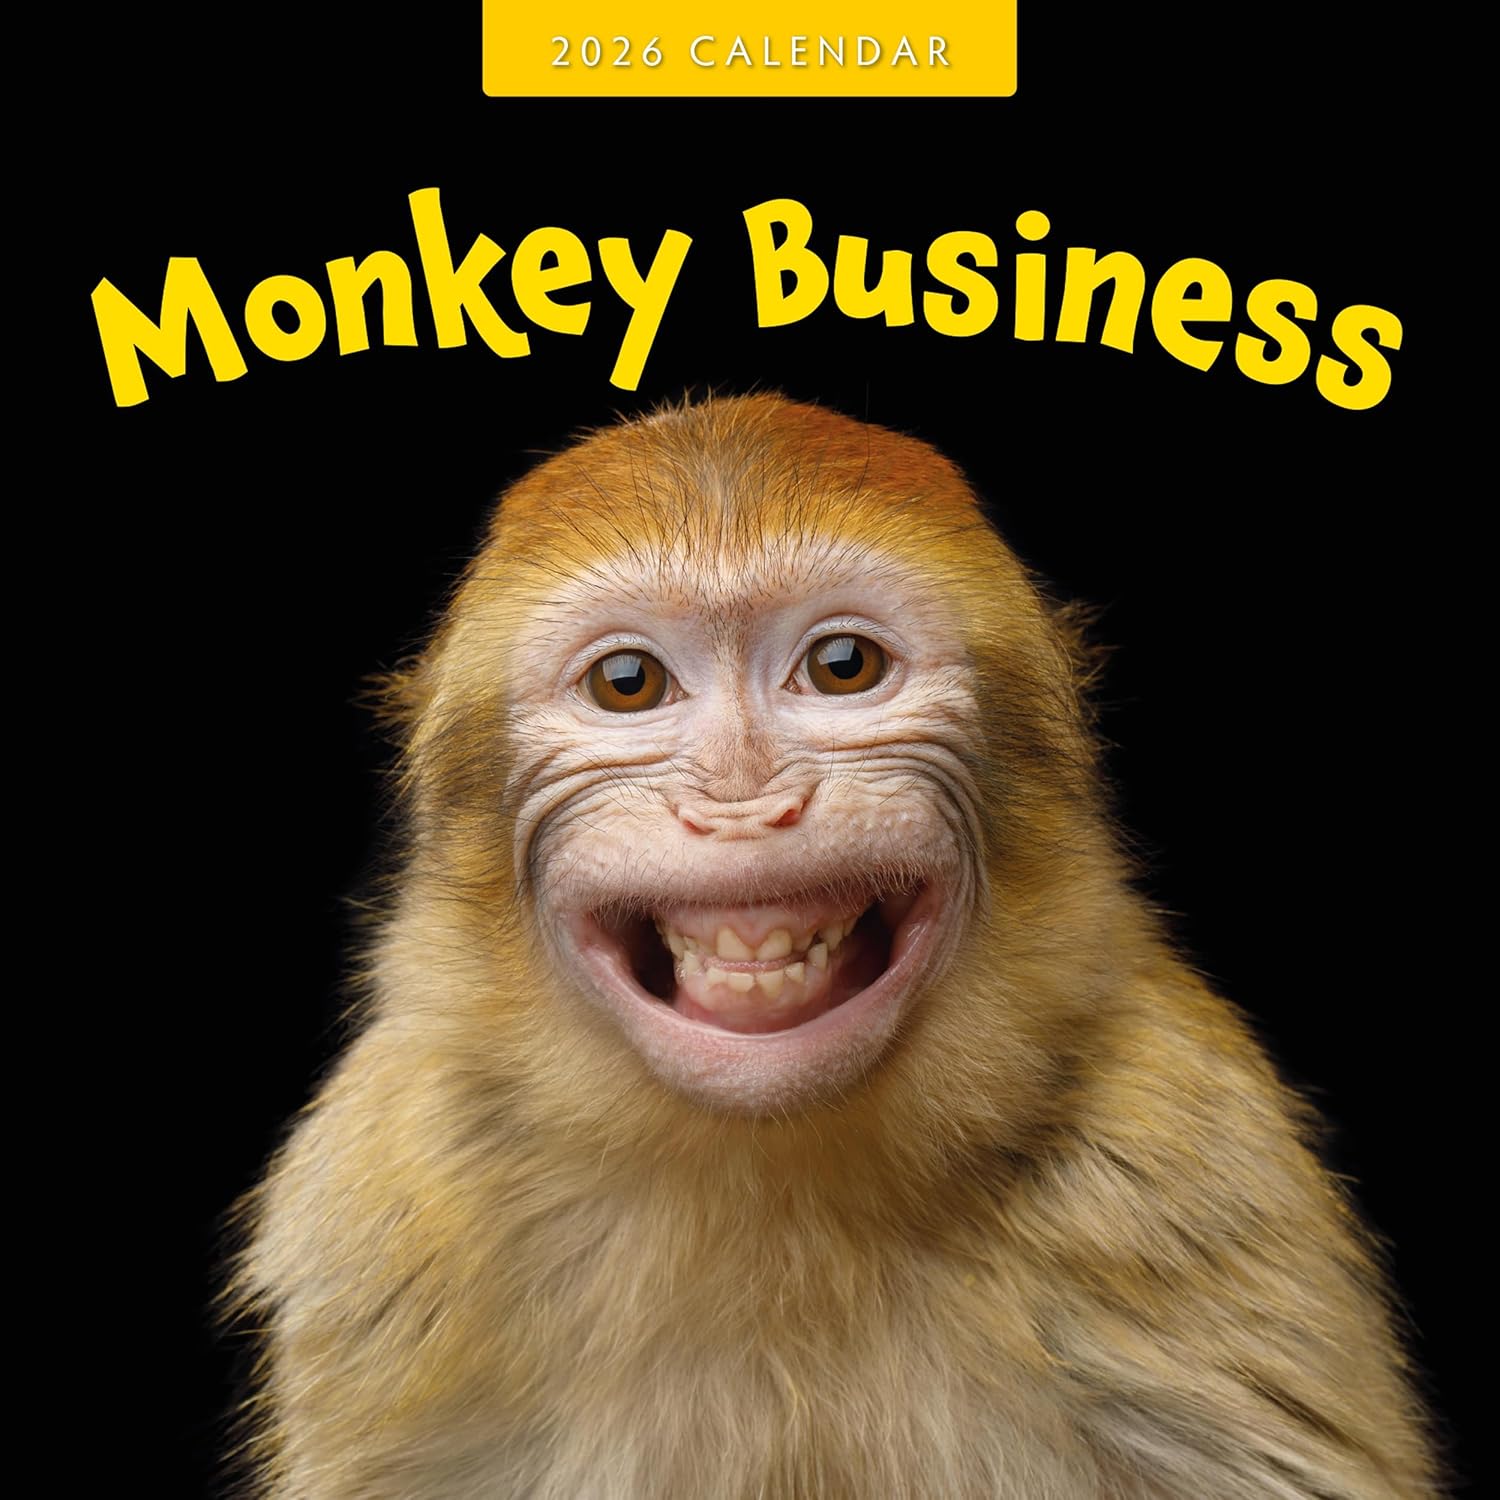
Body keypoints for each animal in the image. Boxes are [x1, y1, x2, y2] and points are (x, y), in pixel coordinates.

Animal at [227, 394, 1438, 1499]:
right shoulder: (382, 1209)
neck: (769, 1183)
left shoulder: (1192, 1169)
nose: (743, 802)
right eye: (628, 683)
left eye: (843, 664)